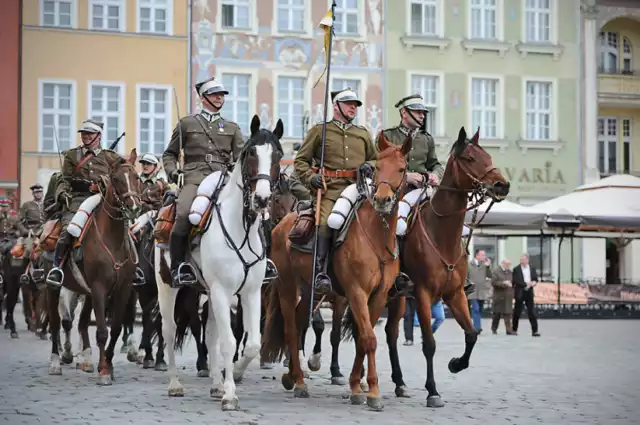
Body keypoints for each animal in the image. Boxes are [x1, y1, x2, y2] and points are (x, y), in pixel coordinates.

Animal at [44, 149, 142, 384]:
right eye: (116, 179)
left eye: (137, 178)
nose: (134, 207)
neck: (113, 239)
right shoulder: (99, 287)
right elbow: (102, 331)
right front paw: (104, 370)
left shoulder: (123, 289)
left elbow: (115, 329)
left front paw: (107, 364)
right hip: (55, 288)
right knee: (56, 322)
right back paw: (56, 362)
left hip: (86, 292)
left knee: (81, 323)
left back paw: (87, 359)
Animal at [154, 115, 284, 410]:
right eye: (250, 153)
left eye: (278, 155)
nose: (262, 199)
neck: (241, 228)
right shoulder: (223, 292)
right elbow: (229, 342)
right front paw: (230, 394)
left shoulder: (250, 293)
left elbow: (251, 344)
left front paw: (231, 377)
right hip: (168, 287)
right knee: (169, 331)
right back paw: (175, 384)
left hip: (209, 293)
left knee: (211, 332)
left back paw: (214, 384)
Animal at [262, 132, 412, 408]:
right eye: (377, 168)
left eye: (401, 168)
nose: (382, 200)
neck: (376, 234)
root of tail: (283, 224)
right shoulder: (356, 292)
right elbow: (369, 339)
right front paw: (372, 392)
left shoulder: (378, 296)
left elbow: (363, 340)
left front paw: (357, 386)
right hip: (288, 286)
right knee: (291, 328)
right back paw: (299, 381)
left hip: (310, 289)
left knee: (300, 321)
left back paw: (292, 375)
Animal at [390, 127, 510, 406]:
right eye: (469, 158)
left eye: (488, 156)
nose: (502, 185)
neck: (441, 234)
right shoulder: (422, 294)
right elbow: (429, 344)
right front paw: (432, 391)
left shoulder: (455, 295)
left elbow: (472, 333)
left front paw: (456, 364)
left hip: (398, 298)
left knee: (391, 334)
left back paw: (399, 383)